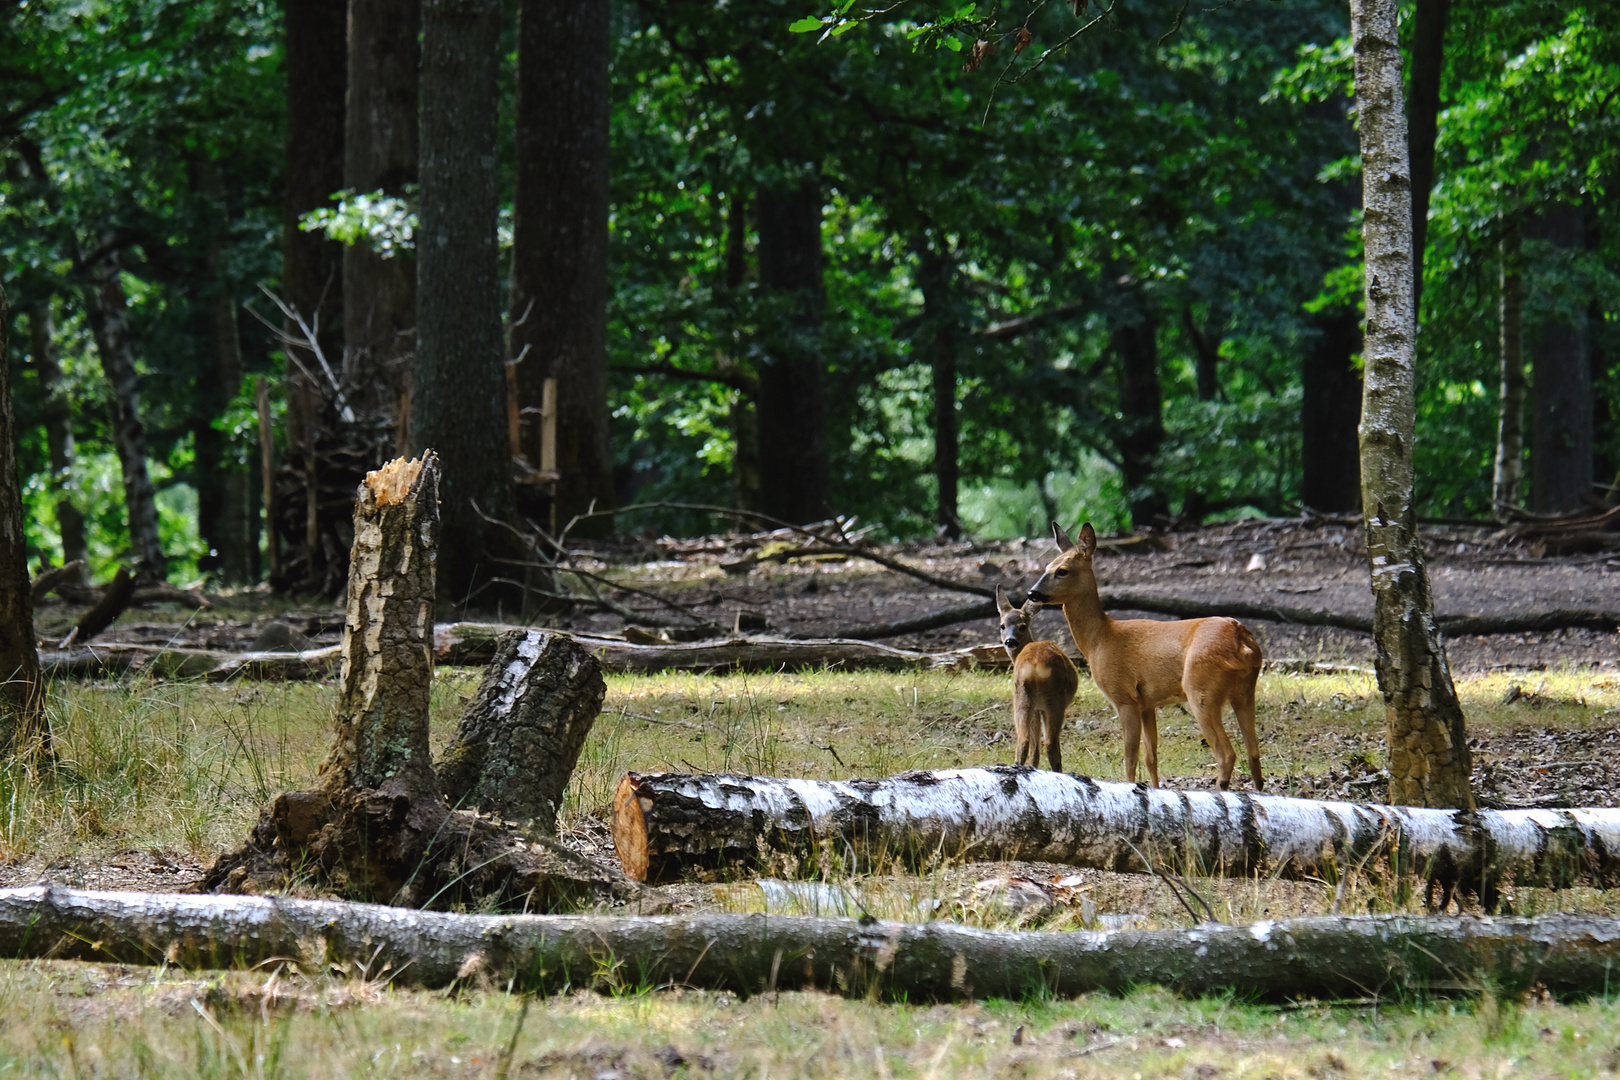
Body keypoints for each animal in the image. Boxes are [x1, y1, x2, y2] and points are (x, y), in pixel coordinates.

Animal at [991, 586, 1082, 773]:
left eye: (1022, 626)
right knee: (1050, 743)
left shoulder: (1036, 708)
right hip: (1054, 700)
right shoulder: (1042, 708)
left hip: (1022, 697)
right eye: (1002, 626)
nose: (1010, 641)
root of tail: (1034, 667)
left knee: (1023, 741)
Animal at [1023, 518, 1263, 790]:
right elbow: (1151, 757)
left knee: (1226, 754)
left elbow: (1130, 757)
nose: (1032, 593)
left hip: (1201, 689)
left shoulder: (1124, 697)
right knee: (1254, 754)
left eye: (1062, 570)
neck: (1099, 639)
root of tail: (1241, 640)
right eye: (1046, 566)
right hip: (1244, 690)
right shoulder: (1147, 702)